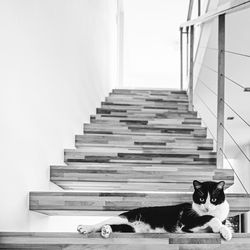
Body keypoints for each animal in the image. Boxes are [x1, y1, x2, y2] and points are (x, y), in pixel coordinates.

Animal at [76, 181, 232, 241]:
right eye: (201, 198)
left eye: (213, 199)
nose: (207, 207)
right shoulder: (188, 224)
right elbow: (212, 218)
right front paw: (223, 230)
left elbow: (219, 223)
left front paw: (225, 231)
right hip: (124, 217)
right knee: (100, 223)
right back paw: (85, 227)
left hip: (130, 229)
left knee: (114, 227)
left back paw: (106, 230)